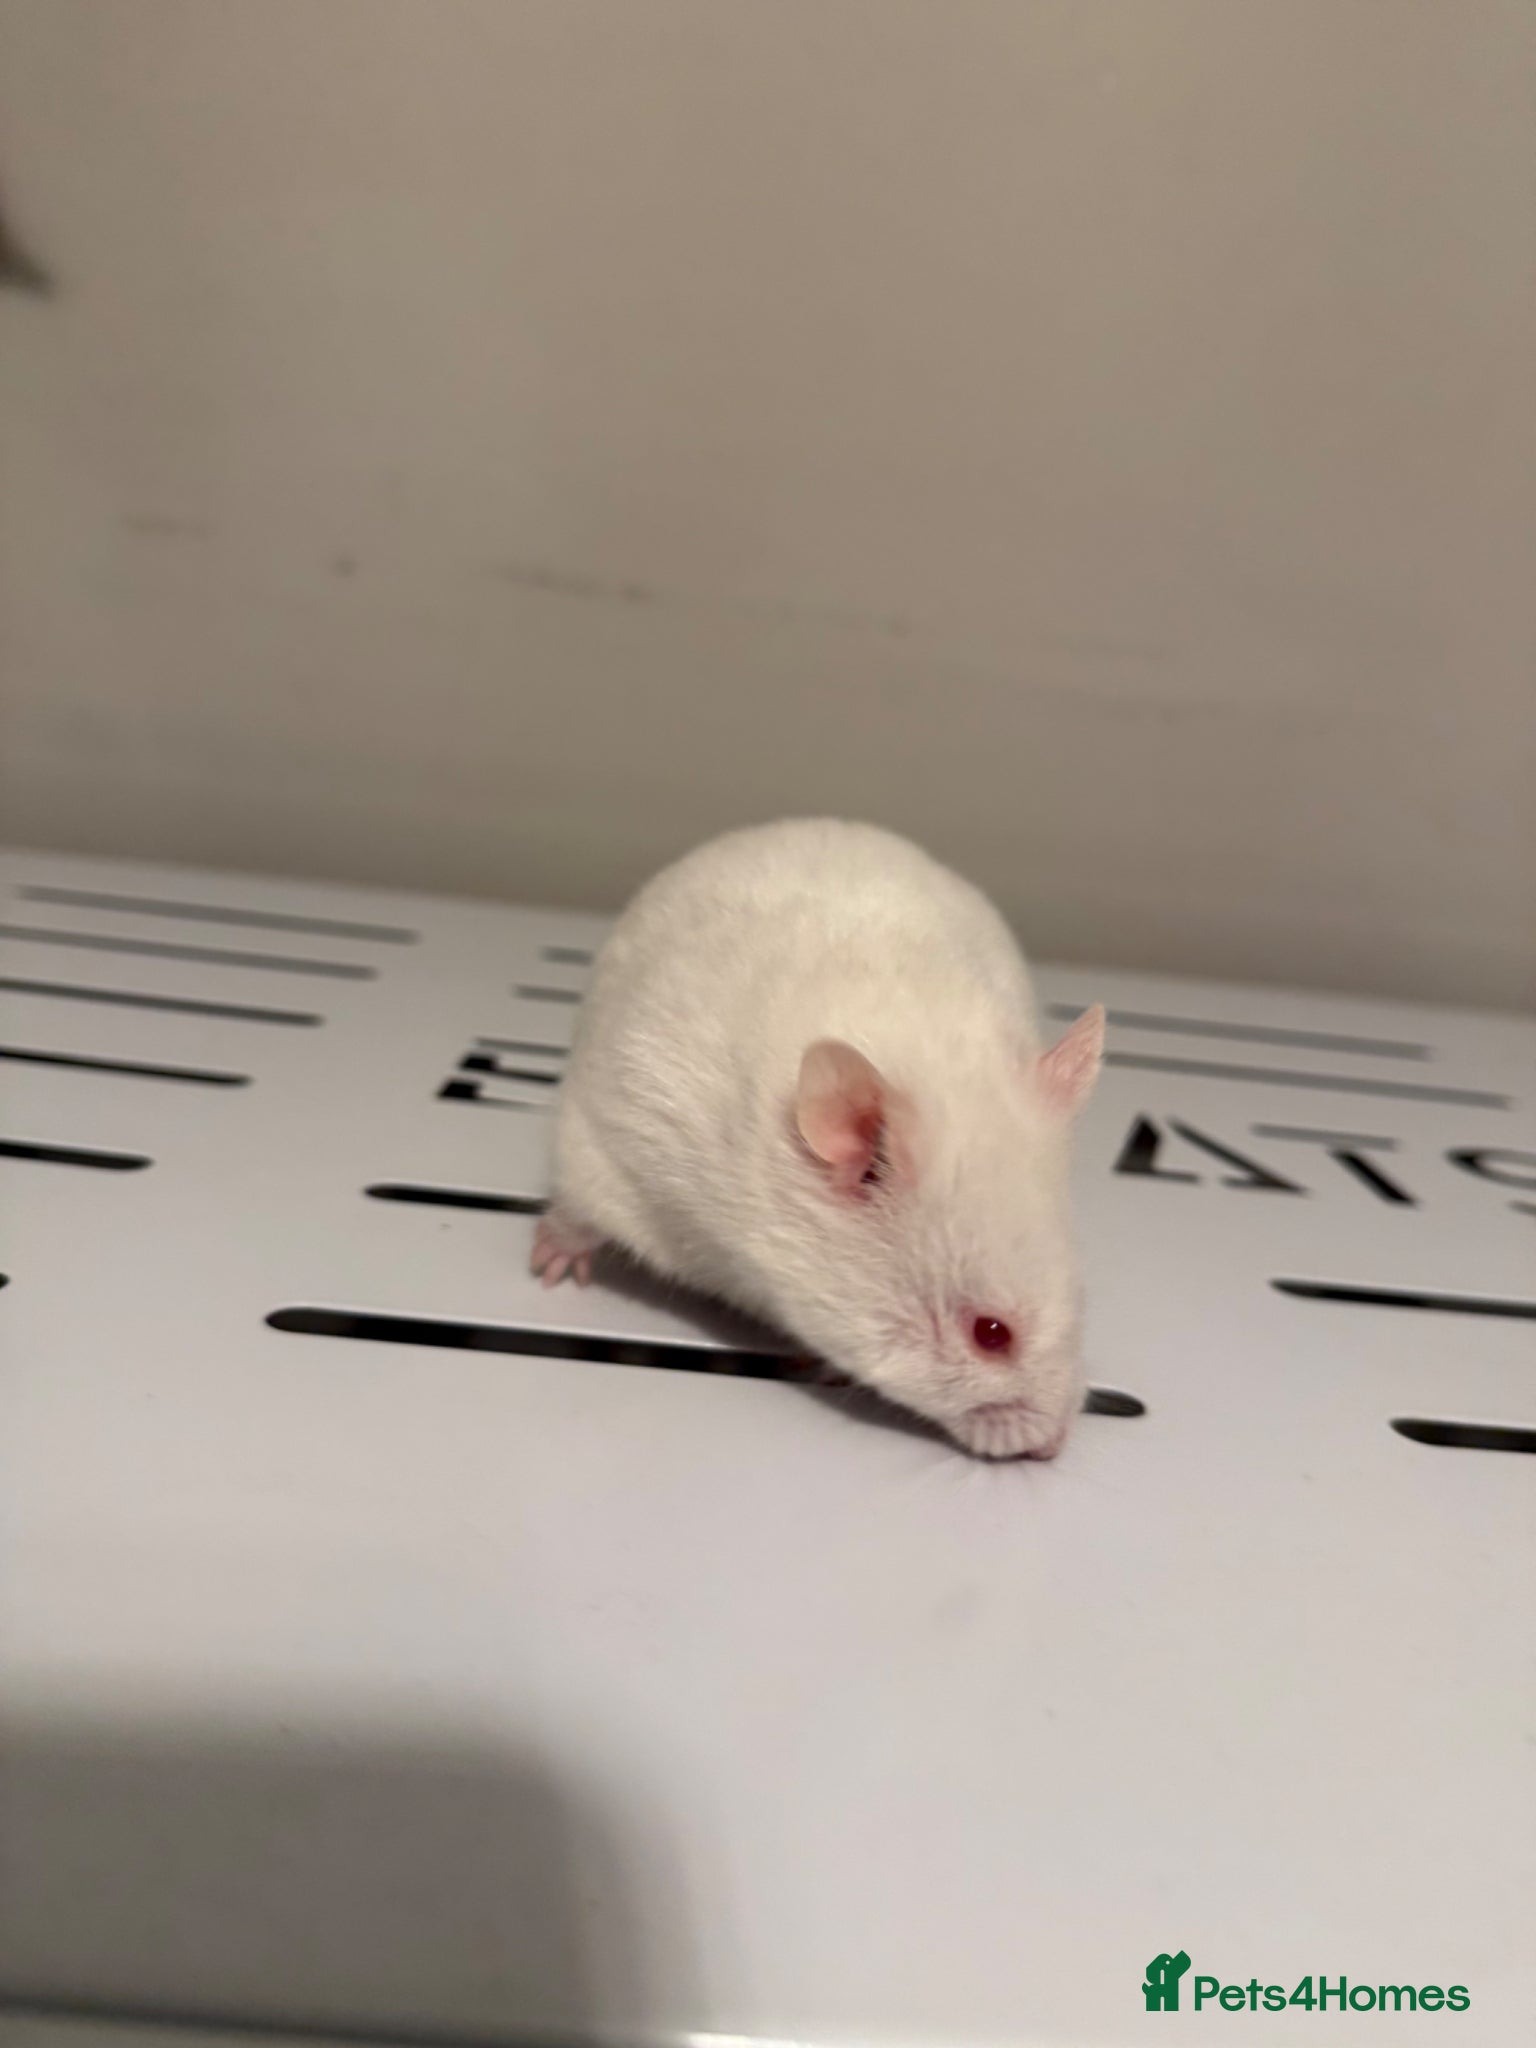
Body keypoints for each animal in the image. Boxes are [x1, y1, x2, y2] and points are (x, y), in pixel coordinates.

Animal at [533, 819, 1104, 1460]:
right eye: (991, 1334)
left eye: (1081, 1297)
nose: (1055, 1447)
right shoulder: (609, 1140)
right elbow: (578, 1212)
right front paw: (552, 1269)